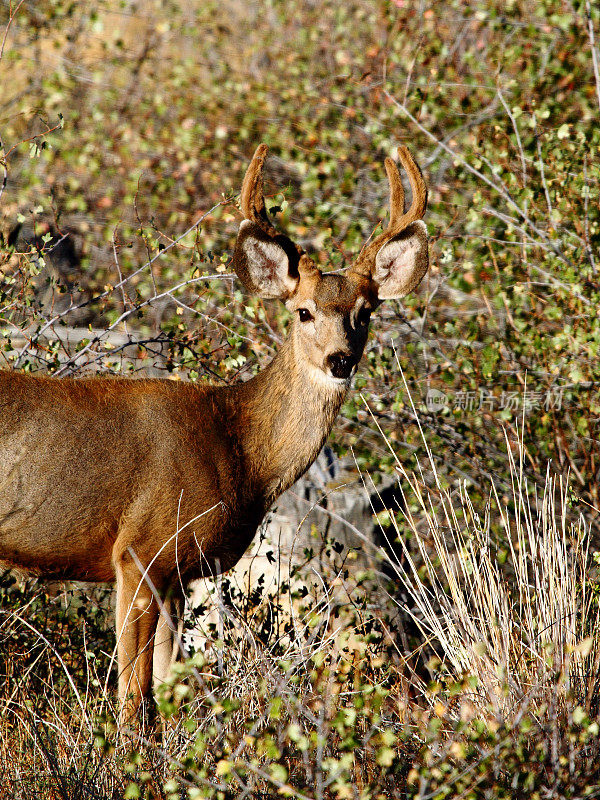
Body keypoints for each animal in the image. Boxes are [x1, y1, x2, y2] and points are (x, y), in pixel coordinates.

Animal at [0, 145, 432, 724]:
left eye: (365, 314)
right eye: (304, 311)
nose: (340, 360)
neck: (240, 448)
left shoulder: (180, 575)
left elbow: (166, 686)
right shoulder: (140, 550)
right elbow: (133, 698)